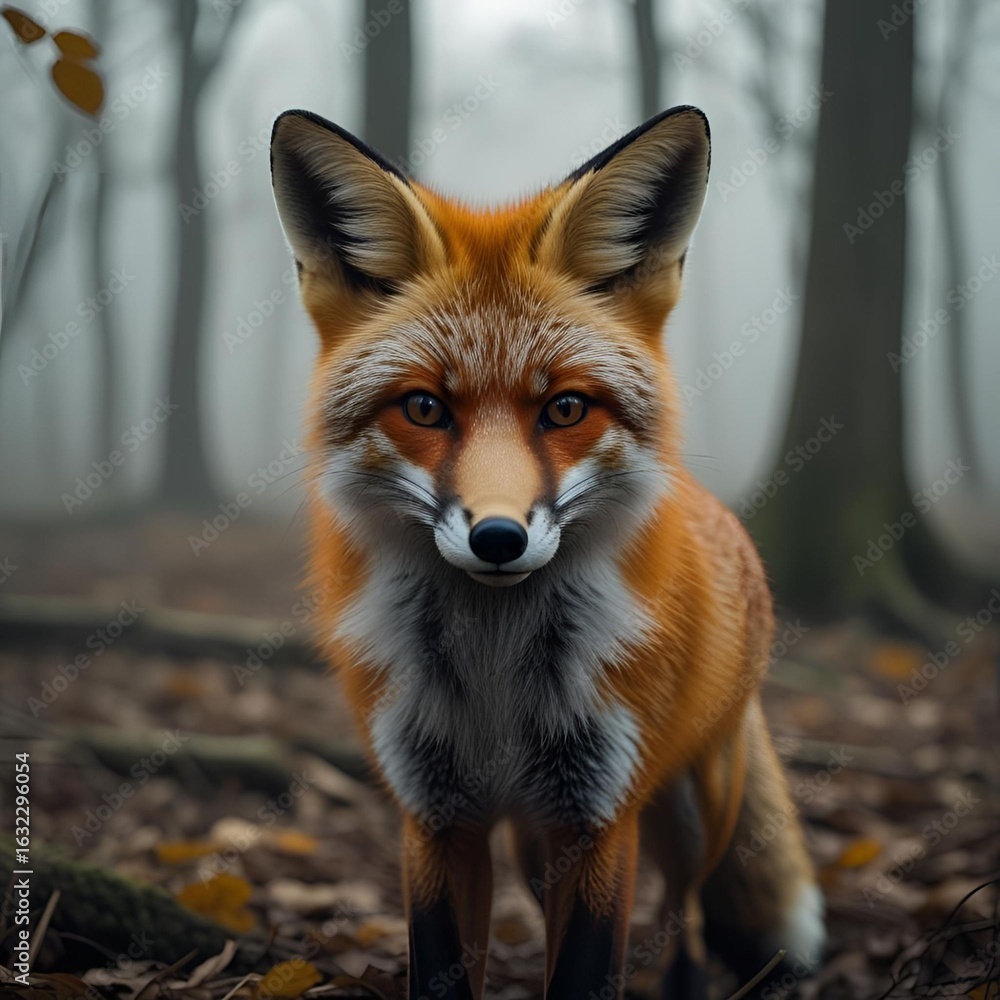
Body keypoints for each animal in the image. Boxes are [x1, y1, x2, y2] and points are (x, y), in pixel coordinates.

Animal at [269, 106, 824, 999]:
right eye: (424, 407)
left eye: (565, 408)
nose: (499, 537)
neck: (498, 684)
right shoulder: (437, 815)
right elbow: (444, 966)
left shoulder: (600, 813)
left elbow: (590, 968)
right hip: (534, 842)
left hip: (695, 808)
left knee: (686, 915)